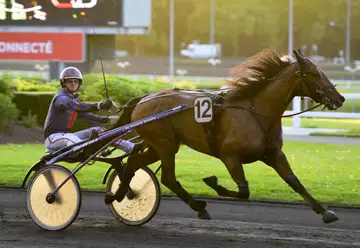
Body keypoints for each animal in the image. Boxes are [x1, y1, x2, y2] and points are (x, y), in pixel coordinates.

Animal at [105, 47, 346, 224]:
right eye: (315, 73)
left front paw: (325, 212)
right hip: (165, 144)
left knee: (134, 162)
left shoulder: (274, 154)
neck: (257, 112)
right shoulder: (229, 156)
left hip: (160, 145)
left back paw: (117, 195)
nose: (340, 98)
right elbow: (244, 191)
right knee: (167, 177)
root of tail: (144, 98)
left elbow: (295, 182)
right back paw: (198, 206)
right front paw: (213, 183)